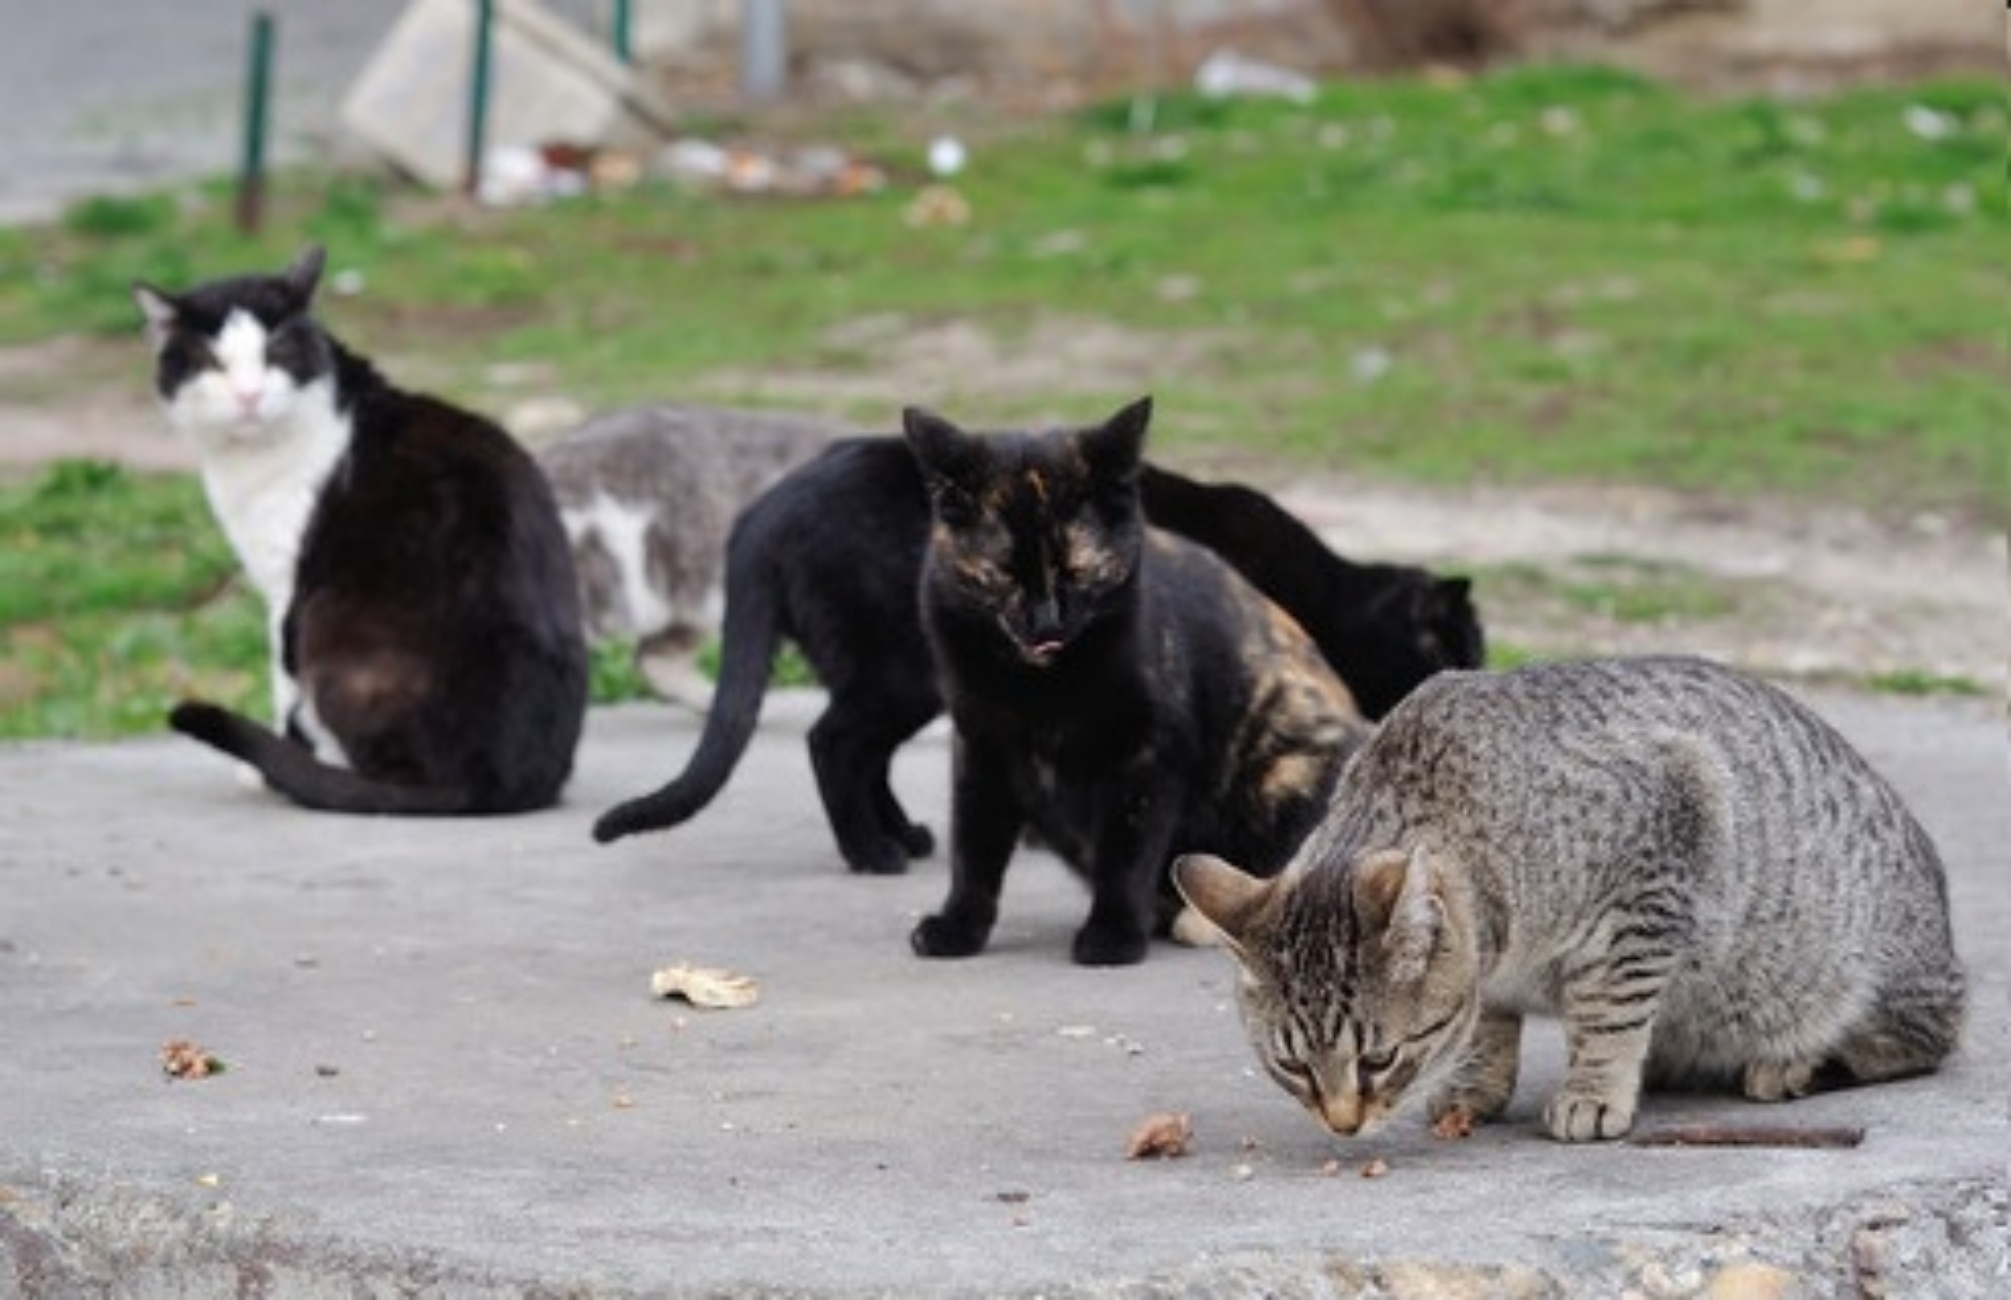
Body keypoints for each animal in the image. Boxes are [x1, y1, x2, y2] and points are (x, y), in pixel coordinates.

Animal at [132, 247, 587, 813]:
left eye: (276, 352)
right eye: (214, 363)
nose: (249, 395)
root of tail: (493, 780)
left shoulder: (288, 589)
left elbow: (282, 680)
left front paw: (269, 768)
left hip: (330, 623)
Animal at [587, 400, 1488, 877]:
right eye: (1463, 651)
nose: (1477, 681)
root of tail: (766, 508)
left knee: (859, 750)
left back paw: (903, 837)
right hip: (899, 670)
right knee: (832, 742)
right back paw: (873, 853)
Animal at [1174, 656, 1962, 1143]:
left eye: (1377, 1058)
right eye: (1293, 1067)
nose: (1343, 1124)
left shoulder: (1659, 853)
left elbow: (1609, 1010)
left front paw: (1593, 1089)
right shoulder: (1488, 974)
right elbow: (1487, 1026)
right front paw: (1474, 1083)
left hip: (1865, 978)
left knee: (1911, 1043)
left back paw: (1790, 1064)